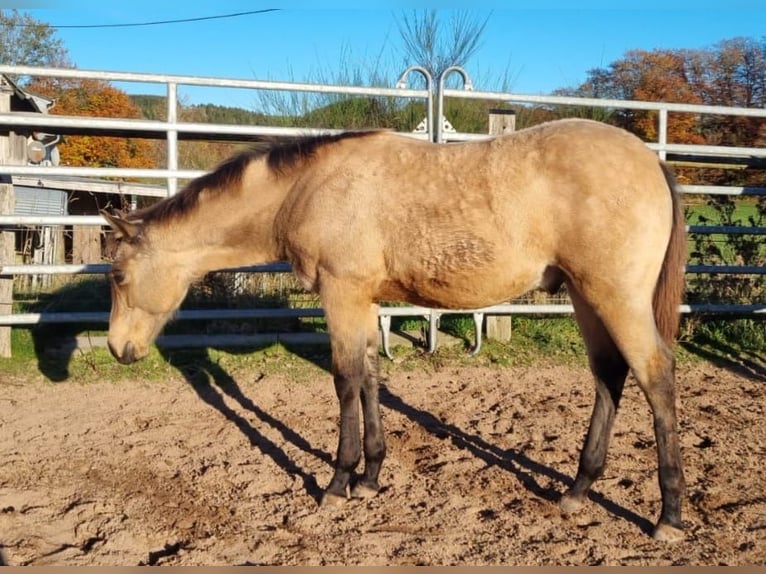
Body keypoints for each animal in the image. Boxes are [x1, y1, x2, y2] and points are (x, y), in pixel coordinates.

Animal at [103, 119, 688, 544]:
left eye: (117, 275)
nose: (118, 348)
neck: (306, 188)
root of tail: (651, 159)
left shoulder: (340, 294)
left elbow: (344, 381)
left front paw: (338, 483)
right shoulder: (363, 301)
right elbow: (368, 378)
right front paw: (369, 478)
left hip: (615, 297)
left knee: (656, 376)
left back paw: (669, 517)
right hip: (587, 298)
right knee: (609, 376)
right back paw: (578, 490)